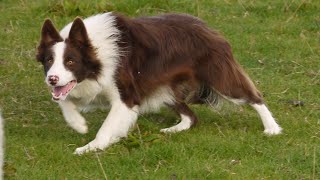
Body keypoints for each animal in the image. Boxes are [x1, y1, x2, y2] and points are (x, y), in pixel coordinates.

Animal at [36, 12, 282, 155]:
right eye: (49, 60)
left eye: (70, 61)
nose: (51, 78)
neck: (96, 53)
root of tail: (208, 27)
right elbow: (63, 100)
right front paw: (79, 124)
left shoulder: (126, 96)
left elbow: (107, 126)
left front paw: (91, 147)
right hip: (164, 89)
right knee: (191, 116)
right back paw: (174, 129)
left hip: (220, 76)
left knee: (254, 96)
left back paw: (272, 128)